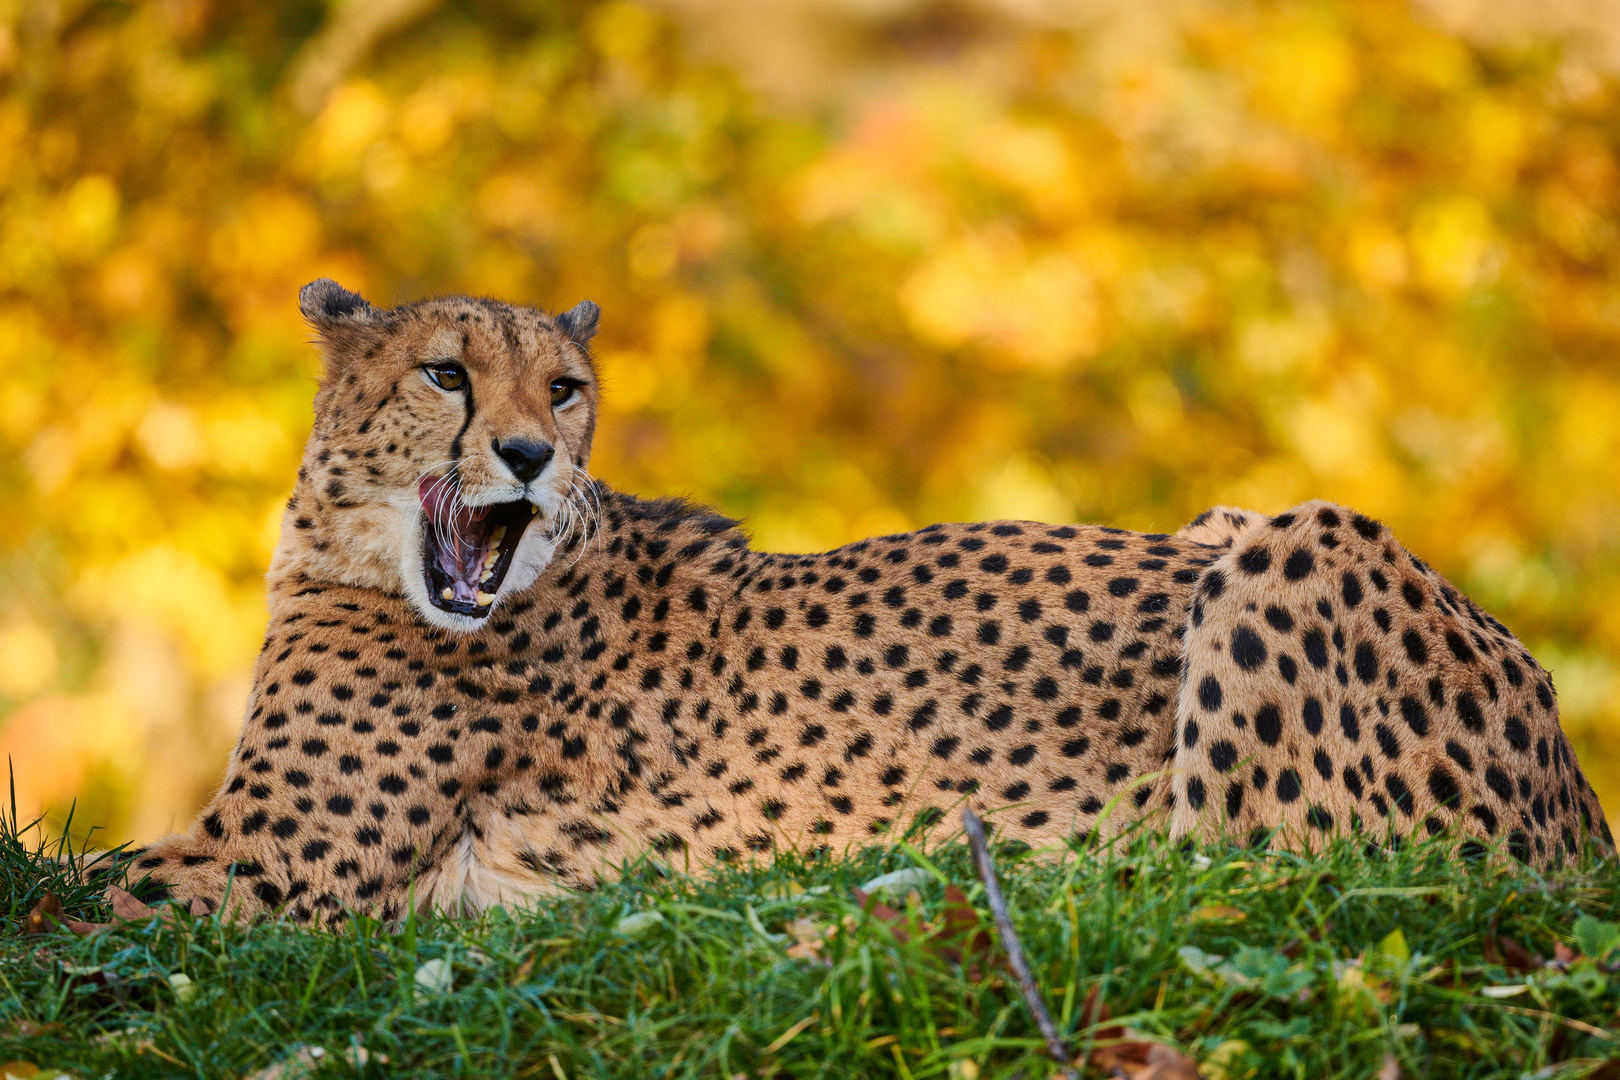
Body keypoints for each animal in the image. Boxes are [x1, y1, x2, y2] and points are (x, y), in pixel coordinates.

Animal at [117, 283, 1607, 926]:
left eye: (566, 390)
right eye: (444, 374)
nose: (533, 458)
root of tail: (1582, 808)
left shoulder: (265, 872)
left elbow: (82, 894)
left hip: (1293, 546)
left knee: (1253, 869)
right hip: (1237, 525)